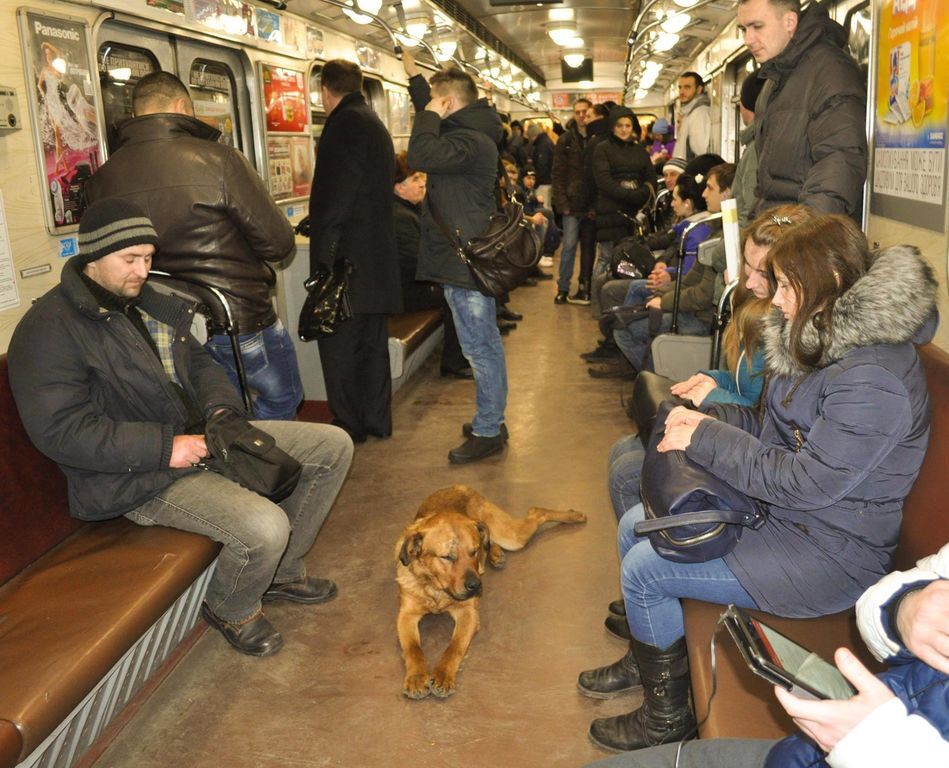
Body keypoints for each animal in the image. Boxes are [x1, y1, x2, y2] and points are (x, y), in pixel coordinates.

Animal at [392, 486, 584, 696]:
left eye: (474, 551)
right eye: (448, 557)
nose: (476, 585)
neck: (436, 590)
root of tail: (459, 486)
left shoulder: (468, 614)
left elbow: (454, 647)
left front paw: (443, 675)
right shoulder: (406, 615)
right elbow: (413, 649)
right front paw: (417, 677)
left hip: (511, 536)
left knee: (536, 512)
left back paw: (574, 515)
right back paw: (496, 554)